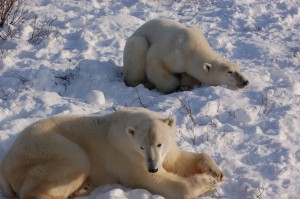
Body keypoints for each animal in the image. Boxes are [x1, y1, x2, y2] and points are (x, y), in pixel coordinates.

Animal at [0, 108, 224, 198]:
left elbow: (178, 160)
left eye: (159, 144)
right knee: (73, 163)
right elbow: (157, 182)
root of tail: (4, 166)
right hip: (50, 149)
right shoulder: (127, 155)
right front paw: (206, 181)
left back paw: (83, 188)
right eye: (142, 147)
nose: (152, 167)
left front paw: (215, 171)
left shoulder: (164, 152)